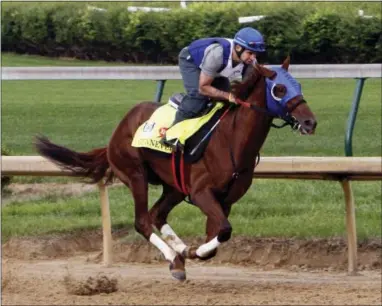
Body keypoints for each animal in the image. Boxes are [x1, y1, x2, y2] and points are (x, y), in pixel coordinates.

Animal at [35, 56, 316, 280]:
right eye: (279, 89)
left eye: (299, 85)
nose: (310, 122)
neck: (232, 139)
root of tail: (118, 129)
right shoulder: (201, 193)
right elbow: (224, 231)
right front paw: (192, 251)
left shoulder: (225, 200)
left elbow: (216, 239)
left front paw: (191, 250)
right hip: (135, 174)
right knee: (143, 220)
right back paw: (173, 258)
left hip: (175, 187)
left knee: (157, 214)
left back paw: (179, 254)